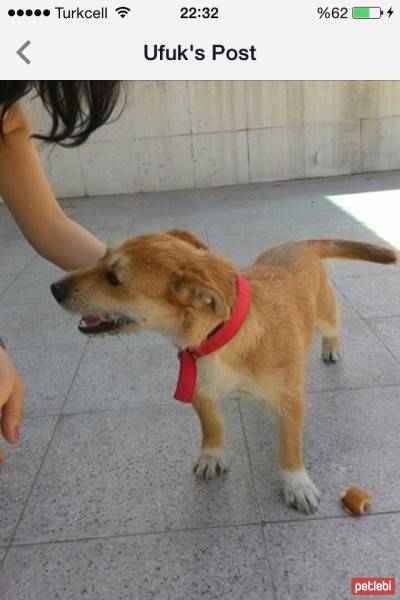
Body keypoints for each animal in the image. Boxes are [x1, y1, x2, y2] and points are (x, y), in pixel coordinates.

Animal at [50, 232, 396, 512]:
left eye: (113, 278)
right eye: (101, 258)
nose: (54, 288)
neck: (220, 337)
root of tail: (300, 242)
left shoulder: (291, 400)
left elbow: (289, 446)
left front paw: (296, 483)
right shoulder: (199, 387)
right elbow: (212, 425)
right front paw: (211, 456)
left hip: (324, 315)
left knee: (334, 325)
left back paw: (331, 347)